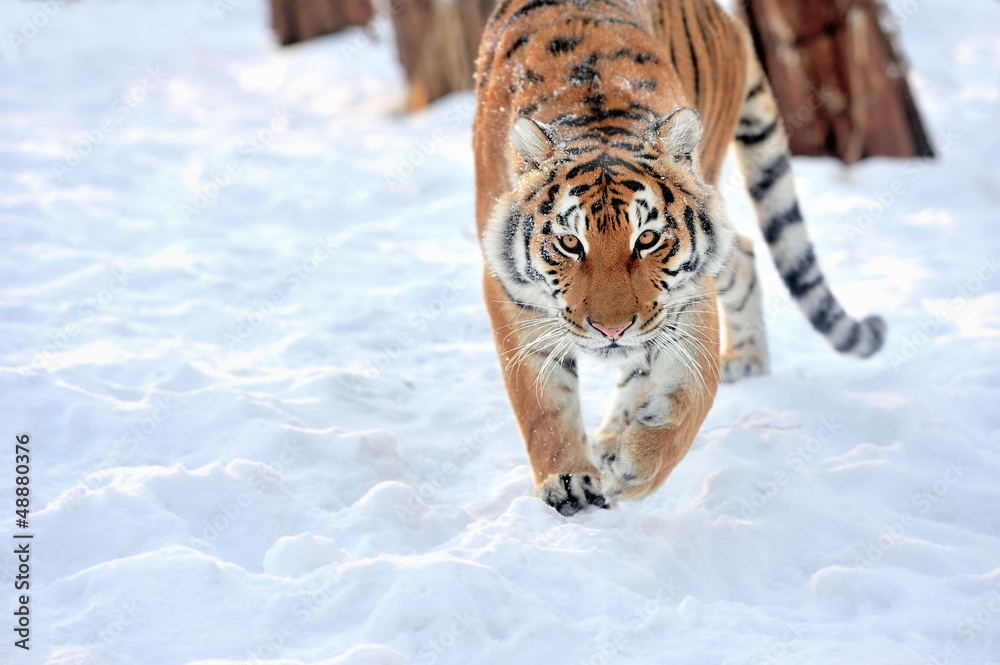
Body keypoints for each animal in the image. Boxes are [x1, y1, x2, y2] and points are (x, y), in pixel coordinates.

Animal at [473, 0, 886, 515]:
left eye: (647, 239)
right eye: (570, 244)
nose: (612, 330)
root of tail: (725, 16)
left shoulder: (687, 294)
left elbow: (691, 395)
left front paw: (634, 468)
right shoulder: (509, 290)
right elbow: (542, 404)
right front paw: (568, 481)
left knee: (738, 256)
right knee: (743, 251)